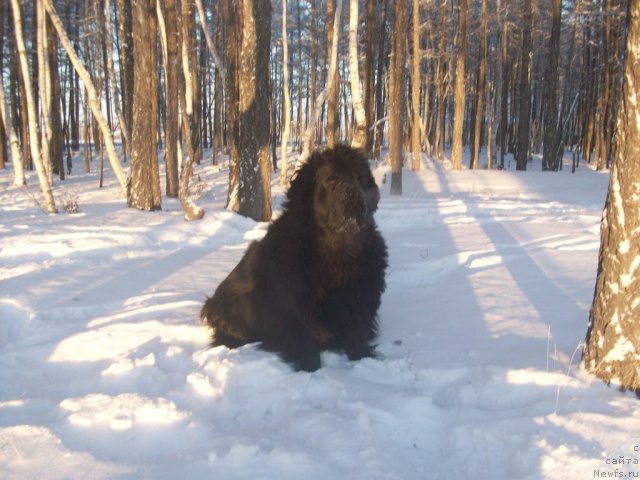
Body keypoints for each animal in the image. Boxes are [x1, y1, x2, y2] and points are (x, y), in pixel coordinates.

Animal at [200, 145, 388, 372]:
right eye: (331, 181)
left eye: (359, 179)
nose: (353, 195)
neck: (336, 254)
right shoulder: (292, 314)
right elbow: (304, 345)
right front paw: (310, 366)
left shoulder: (359, 306)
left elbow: (357, 336)